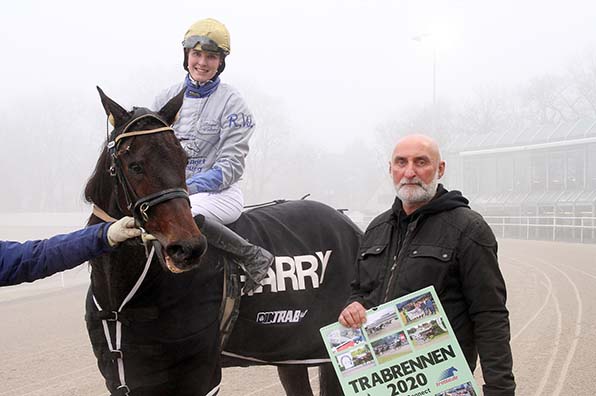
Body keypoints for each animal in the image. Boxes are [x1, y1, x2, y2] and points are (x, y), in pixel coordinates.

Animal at [81, 88, 360, 394]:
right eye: (135, 166)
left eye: (183, 159)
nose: (187, 249)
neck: (122, 300)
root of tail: (346, 221)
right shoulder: (126, 376)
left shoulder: (199, 373)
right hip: (290, 353)